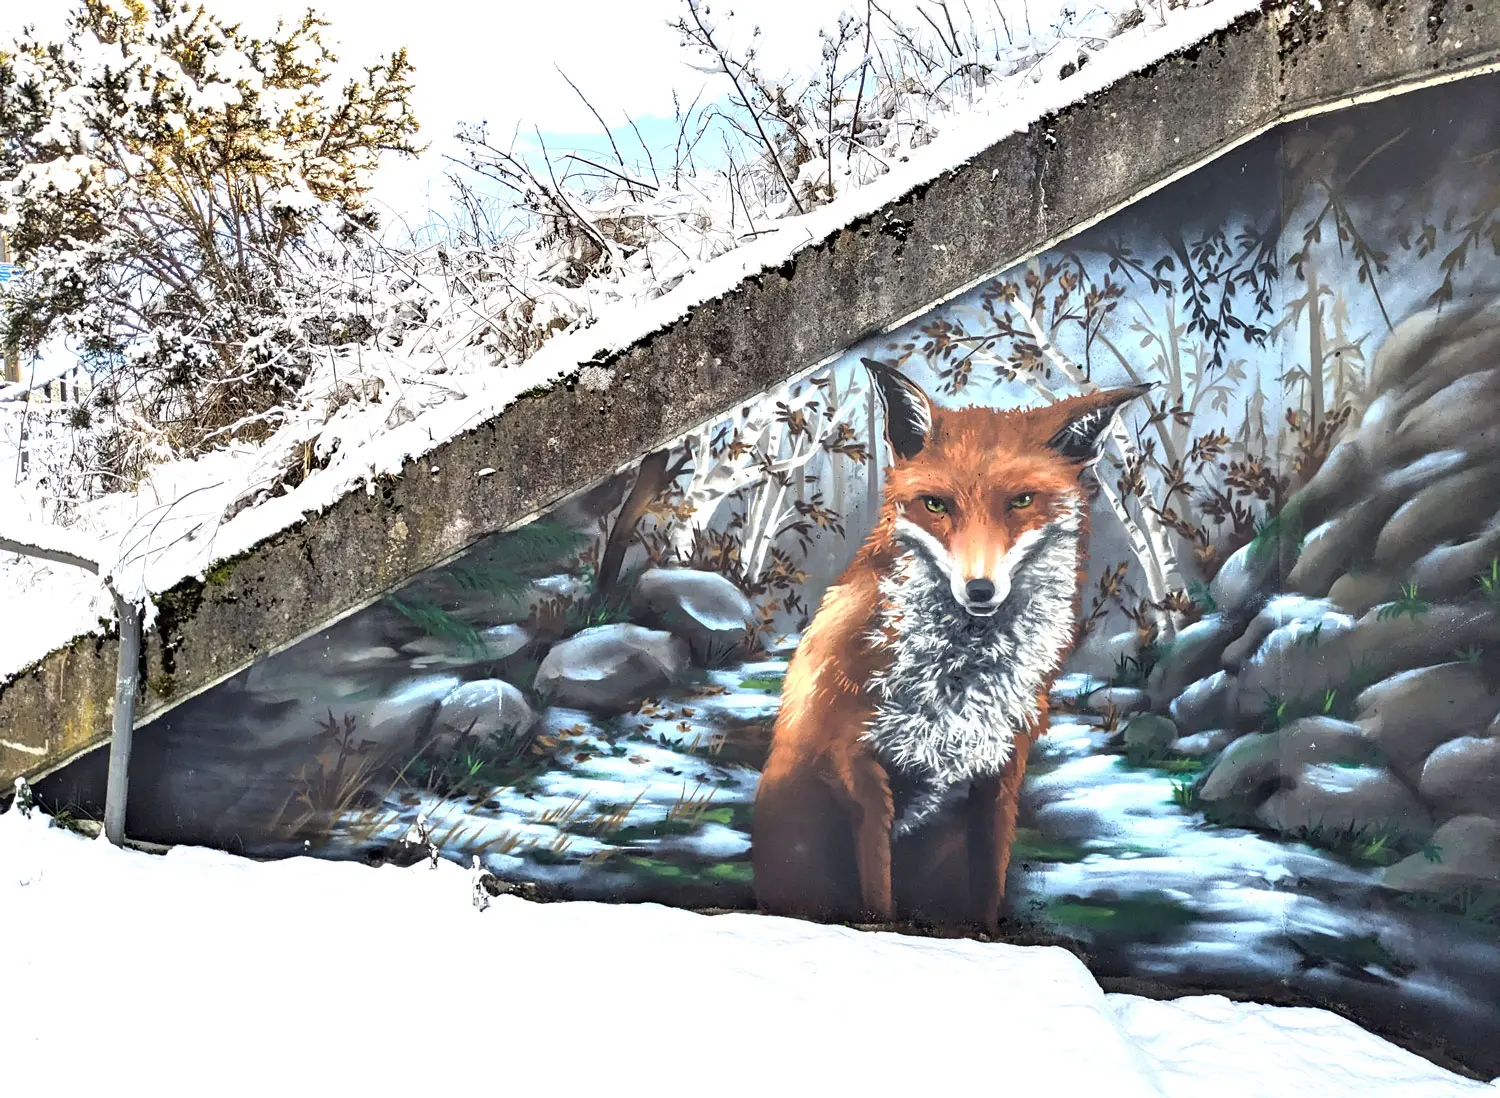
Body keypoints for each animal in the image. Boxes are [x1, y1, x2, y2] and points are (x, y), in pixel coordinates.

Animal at [751, 357, 1149, 931]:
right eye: (936, 505)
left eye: (1021, 501)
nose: (979, 590)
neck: (958, 685)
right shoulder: (857, 768)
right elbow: (878, 899)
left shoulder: (999, 773)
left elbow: (986, 891)